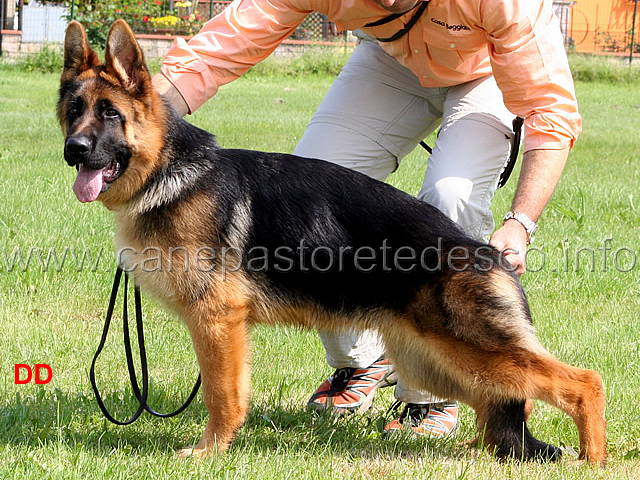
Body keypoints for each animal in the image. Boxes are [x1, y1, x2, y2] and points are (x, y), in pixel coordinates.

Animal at [57, 20, 608, 464]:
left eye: (110, 114)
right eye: (74, 110)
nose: (72, 150)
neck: (168, 171)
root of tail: (490, 254)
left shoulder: (217, 322)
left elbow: (221, 393)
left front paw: (210, 451)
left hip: (467, 351)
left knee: (582, 382)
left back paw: (592, 458)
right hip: (435, 362)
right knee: (502, 401)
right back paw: (481, 447)